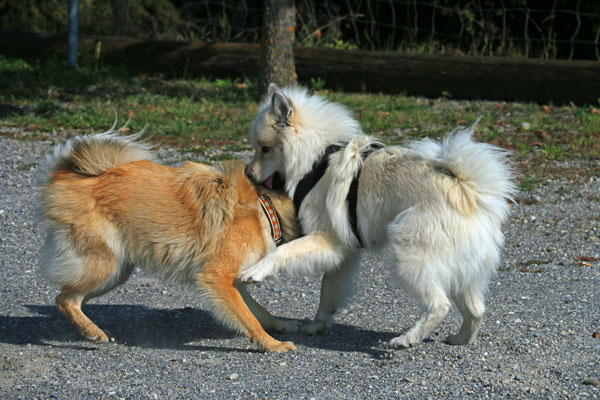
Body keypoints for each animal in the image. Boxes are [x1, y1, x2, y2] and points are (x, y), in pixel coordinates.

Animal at [38, 130, 300, 350]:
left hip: (116, 272)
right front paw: (271, 344)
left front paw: (280, 325)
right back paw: (92, 331)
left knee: (69, 297)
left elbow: (257, 311)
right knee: (65, 299)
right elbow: (249, 318)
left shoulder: (232, 280)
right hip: (105, 267)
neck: (266, 208)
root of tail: (66, 174)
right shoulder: (217, 276)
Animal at [239, 84, 516, 346]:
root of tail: (467, 191)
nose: (248, 174)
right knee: (476, 310)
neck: (318, 159)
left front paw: (255, 272)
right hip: (463, 272)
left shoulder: (328, 239)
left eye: (265, 149)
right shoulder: (344, 254)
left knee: (439, 305)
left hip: (407, 255)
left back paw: (406, 339)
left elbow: (282, 252)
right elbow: (328, 294)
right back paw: (460, 339)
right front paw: (317, 326)